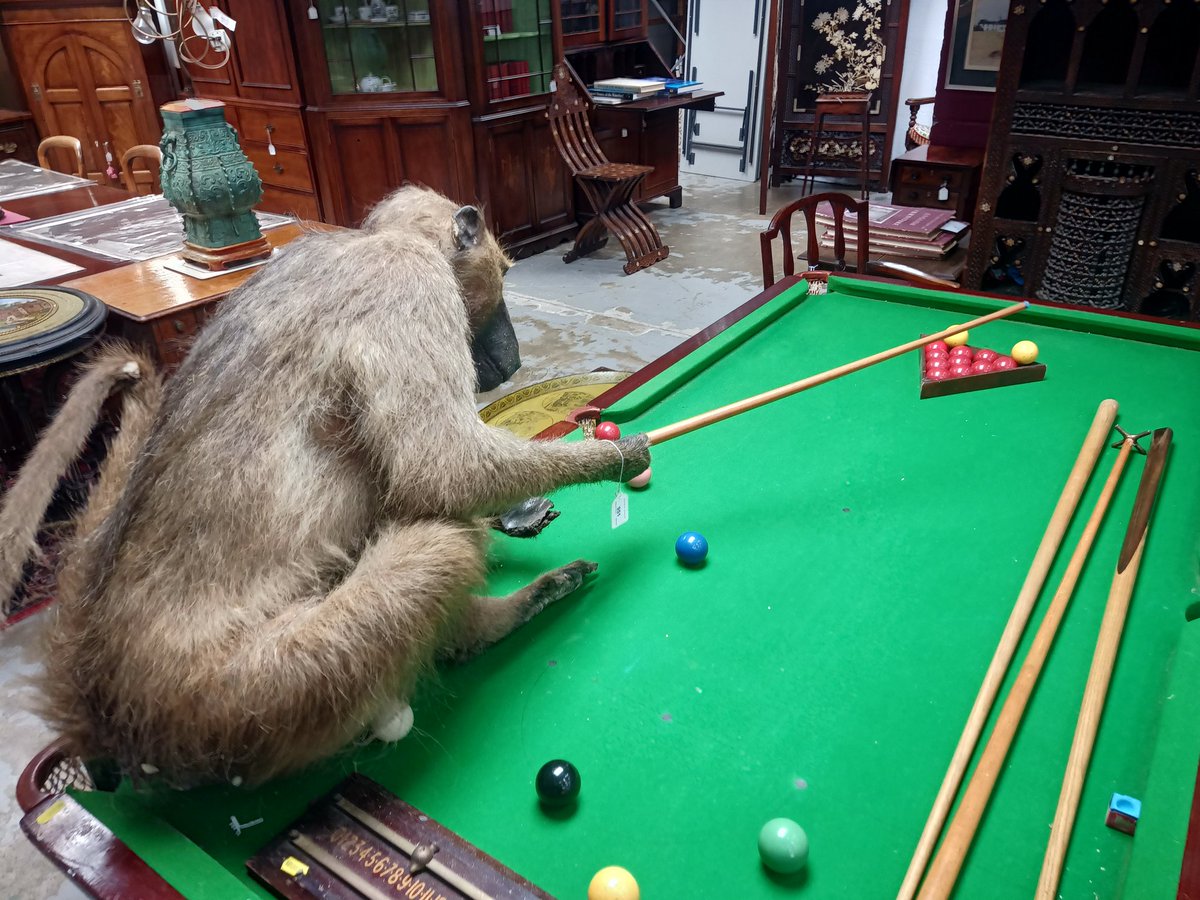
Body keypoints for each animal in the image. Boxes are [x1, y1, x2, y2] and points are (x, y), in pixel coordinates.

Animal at [0, 185, 650, 787]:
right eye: (505, 271)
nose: (511, 364)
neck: (370, 241)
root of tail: (101, 701)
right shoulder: (406, 280)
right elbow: (442, 468)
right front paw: (615, 454)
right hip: (252, 700)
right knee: (439, 541)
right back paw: (508, 614)